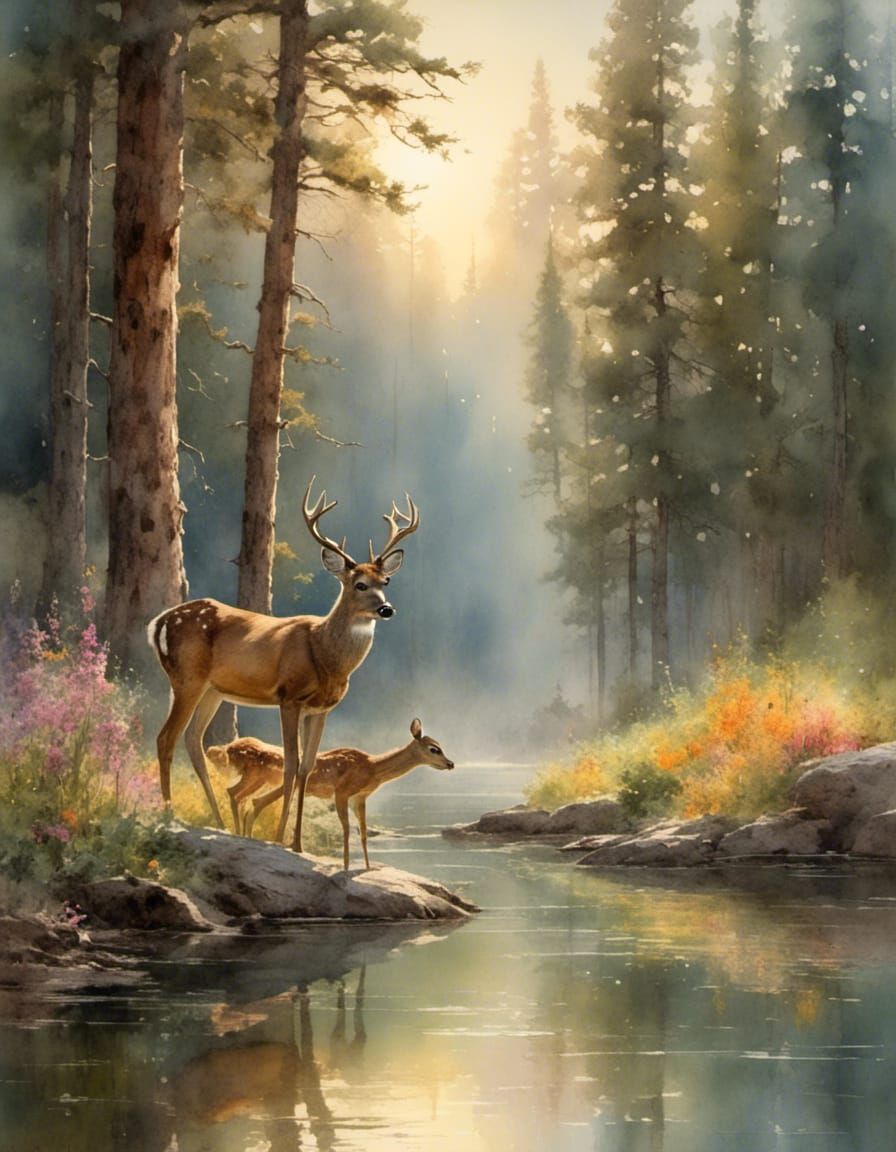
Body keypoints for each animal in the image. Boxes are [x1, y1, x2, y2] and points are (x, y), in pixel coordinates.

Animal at [146, 477, 419, 854]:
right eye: (359, 584)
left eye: (386, 582)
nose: (386, 609)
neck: (327, 659)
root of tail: (158, 622)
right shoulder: (289, 697)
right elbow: (290, 766)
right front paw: (280, 838)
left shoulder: (322, 708)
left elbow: (307, 767)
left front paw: (297, 841)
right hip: (187, 677)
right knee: (165, 737)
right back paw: (169, 813)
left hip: (213, 690)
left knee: (192, 740)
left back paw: (218, 823)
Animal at [206, 718, 455, 870]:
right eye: (434, 748)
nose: (451, 763)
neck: (372, 768)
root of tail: (229, 749)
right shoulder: (341, 792)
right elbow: (346, 829)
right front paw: (345, 866)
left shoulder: (360, 798)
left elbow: (363, 833)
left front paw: (367, 867)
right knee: (248, 799)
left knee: (253, 801)